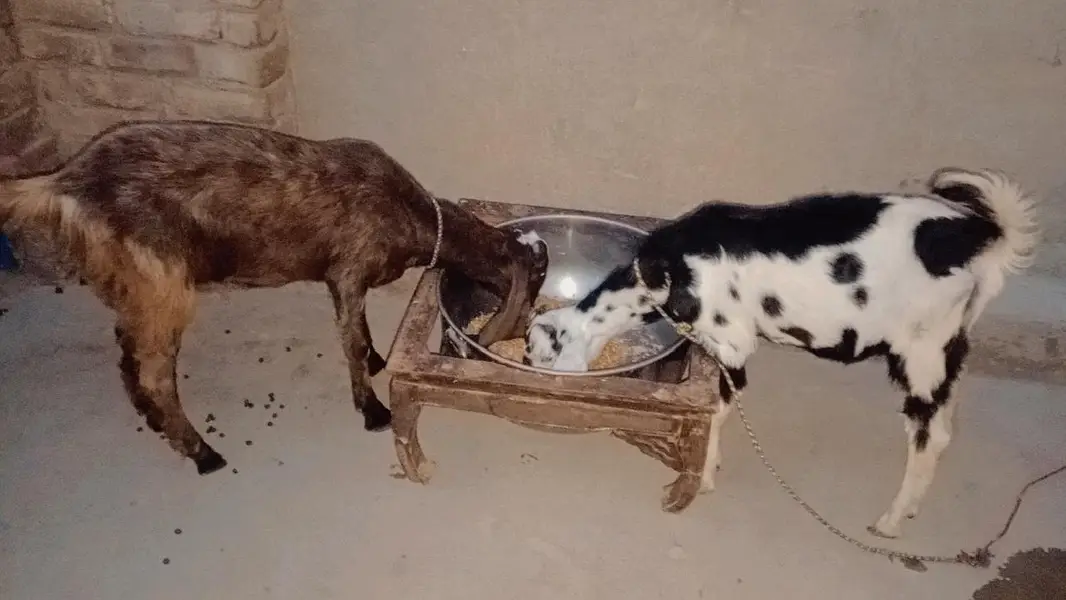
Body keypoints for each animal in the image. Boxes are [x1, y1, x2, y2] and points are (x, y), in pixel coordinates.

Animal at [1, 120, 548, 475]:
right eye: (536, 280)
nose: (526, 339)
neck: (411, 216)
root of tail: (63, 182)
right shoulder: (349, 271)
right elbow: (351, 341)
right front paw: (372, 410)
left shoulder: (340, 280)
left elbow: (360, 331)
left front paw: (376, 360)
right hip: (164, 285)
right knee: (156, 372)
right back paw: (202, 453)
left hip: (133, 286)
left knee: (128, 353)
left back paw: (154, 420)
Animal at [525, 167, 1038, 538]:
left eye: (535, 349)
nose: (527, 367)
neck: (664, 274)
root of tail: (983, 235)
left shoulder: (731, 344)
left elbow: (715, 412)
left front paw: (702, 479)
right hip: (947, 345)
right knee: (945, 419)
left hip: (921, 348)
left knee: (930, 435)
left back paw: (891, 521)